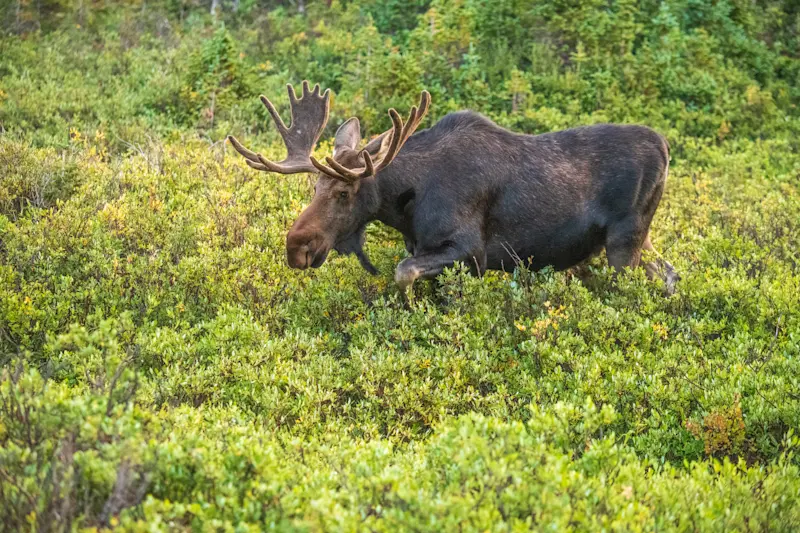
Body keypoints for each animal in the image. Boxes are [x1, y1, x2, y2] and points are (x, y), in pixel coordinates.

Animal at [228, 81, 679, 296]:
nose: (296, 248)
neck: (405, 209)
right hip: (637, 240)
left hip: (624, 240)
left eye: (343, 193)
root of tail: (665, 146)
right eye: (314, 187)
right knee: (670, 272)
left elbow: (403, 273)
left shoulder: (470, 250)